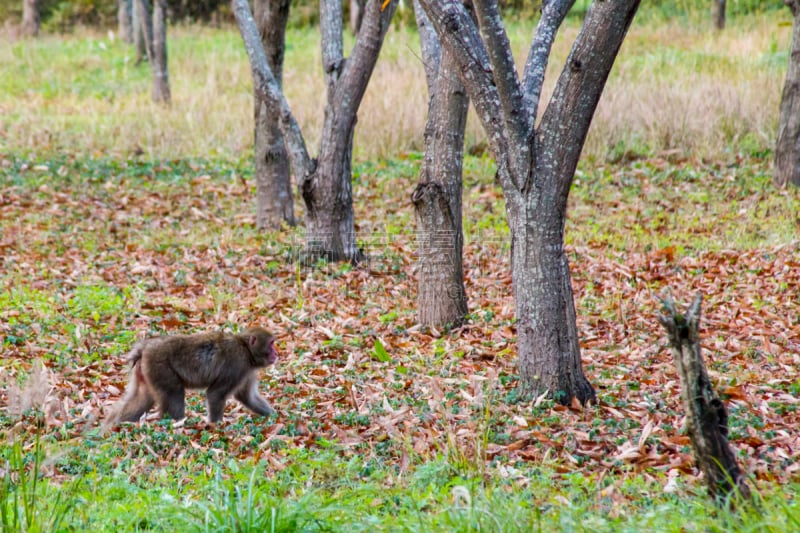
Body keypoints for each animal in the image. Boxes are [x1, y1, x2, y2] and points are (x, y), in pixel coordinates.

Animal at [106, 326, 280, 426]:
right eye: (271, 343)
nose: (276, 353)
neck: (246, 350)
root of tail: (146, 347)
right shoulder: (237, 365)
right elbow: (215, 394)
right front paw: (216, 428)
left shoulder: (248, 371)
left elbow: (247, 397)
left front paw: (276, 417)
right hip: (160, 367)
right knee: (174, 394)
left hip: (148, 372)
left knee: (142, 400)